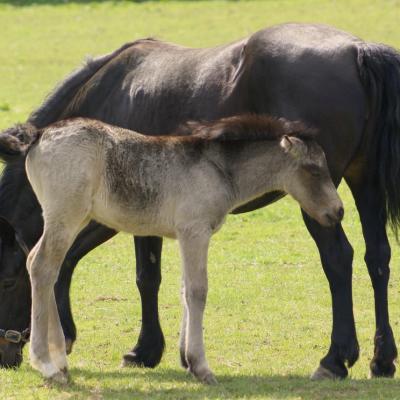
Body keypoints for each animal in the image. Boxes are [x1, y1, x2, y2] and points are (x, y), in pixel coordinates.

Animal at [0, 113, 344, 384]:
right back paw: (47, 365)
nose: (338, 211)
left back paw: (60, 362)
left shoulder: (183, 236)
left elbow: (184, 290)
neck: (217, 168)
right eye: (314, 170)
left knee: (44, 266)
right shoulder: (195, 231)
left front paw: (187, 361)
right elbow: (197, 291)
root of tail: (39, 135)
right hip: (66, 216)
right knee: (42, 266)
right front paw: (201, 367)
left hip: (73, 218)